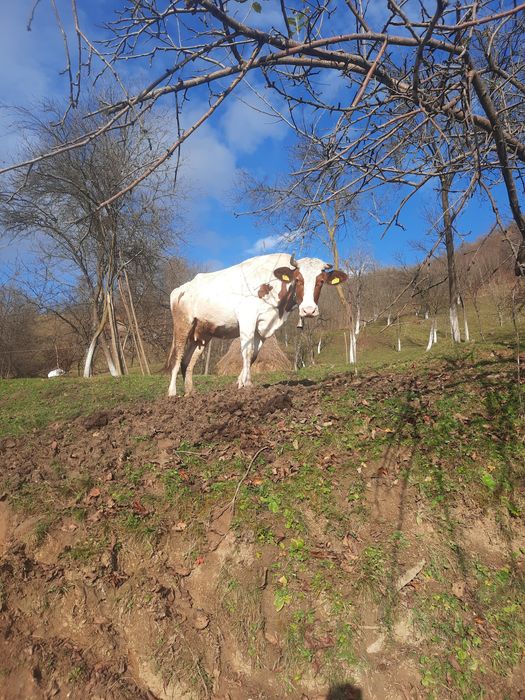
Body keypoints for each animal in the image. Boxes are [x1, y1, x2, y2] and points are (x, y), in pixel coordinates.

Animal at [166, 253, 348, 396]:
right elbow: (246, 352)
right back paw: (172, 392)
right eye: (298, 279)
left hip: (203, 334)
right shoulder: (247, 318)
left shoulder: (263, 328)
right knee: (178, 356)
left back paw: (190, 392)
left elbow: (253, 355)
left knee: (187, 361)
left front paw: (240, 384)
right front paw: (248, 384)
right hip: (183, 324)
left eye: (321, 281)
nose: (309, 310)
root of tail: (181, 288)